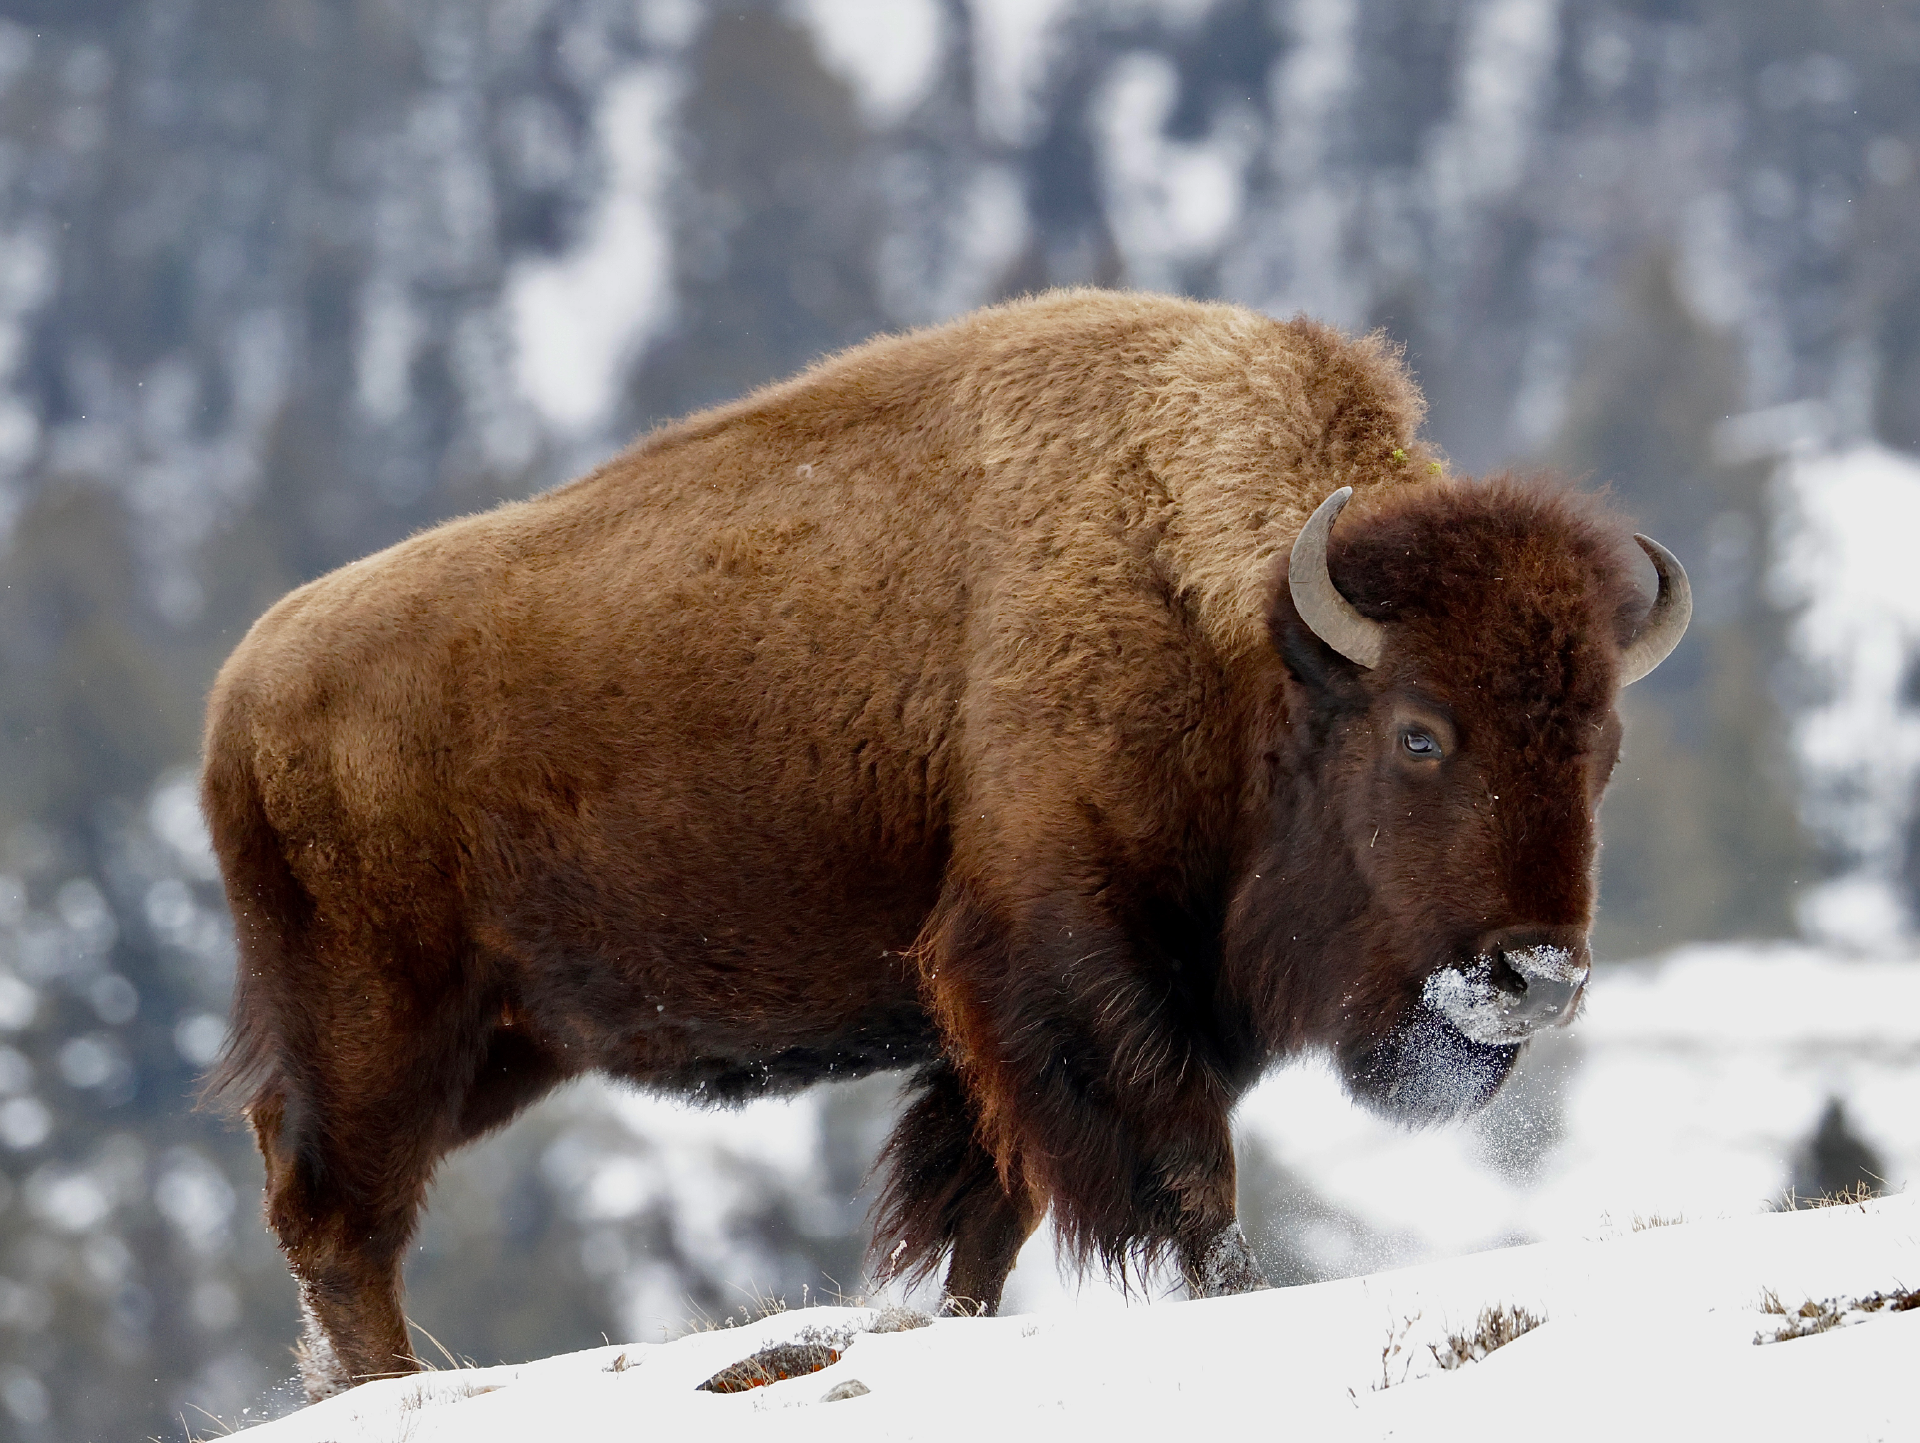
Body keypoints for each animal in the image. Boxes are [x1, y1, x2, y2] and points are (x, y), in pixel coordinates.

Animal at [201, 289, 1688, 1397]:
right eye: (1422, 734)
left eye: (1604, 748)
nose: (1537, 976)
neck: (1232, 622)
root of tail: (243, 690)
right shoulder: (1068, 963)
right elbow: (1180, 1174)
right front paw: (1236, 1294)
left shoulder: (1008, 1023)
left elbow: (986, 1207)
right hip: (385, 1024)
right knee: (339, 1214)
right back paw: (386, 1384)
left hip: (506, 1038)